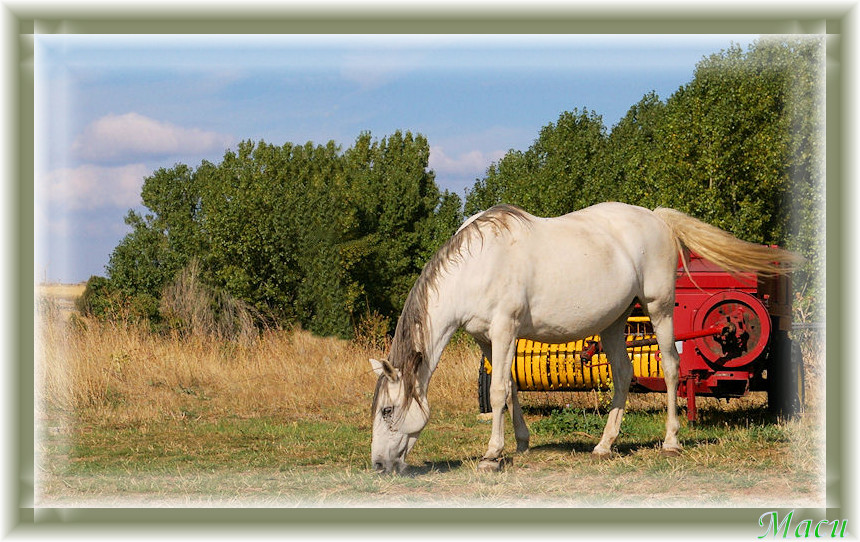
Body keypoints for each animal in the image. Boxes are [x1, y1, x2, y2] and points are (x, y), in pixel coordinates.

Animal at [370, 202, 800, 474]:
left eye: (387, 411)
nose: (378, 465)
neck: (479, 264)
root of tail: (657, 218)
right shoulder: (487, 339)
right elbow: (509, 388)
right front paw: (521, 443)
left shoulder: (504, 329)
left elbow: (497, 391)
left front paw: (493, 455)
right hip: (613, 322)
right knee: (624, 375)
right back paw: (604, 445)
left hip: (660, 310)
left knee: (673, 369)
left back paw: (671, 441)